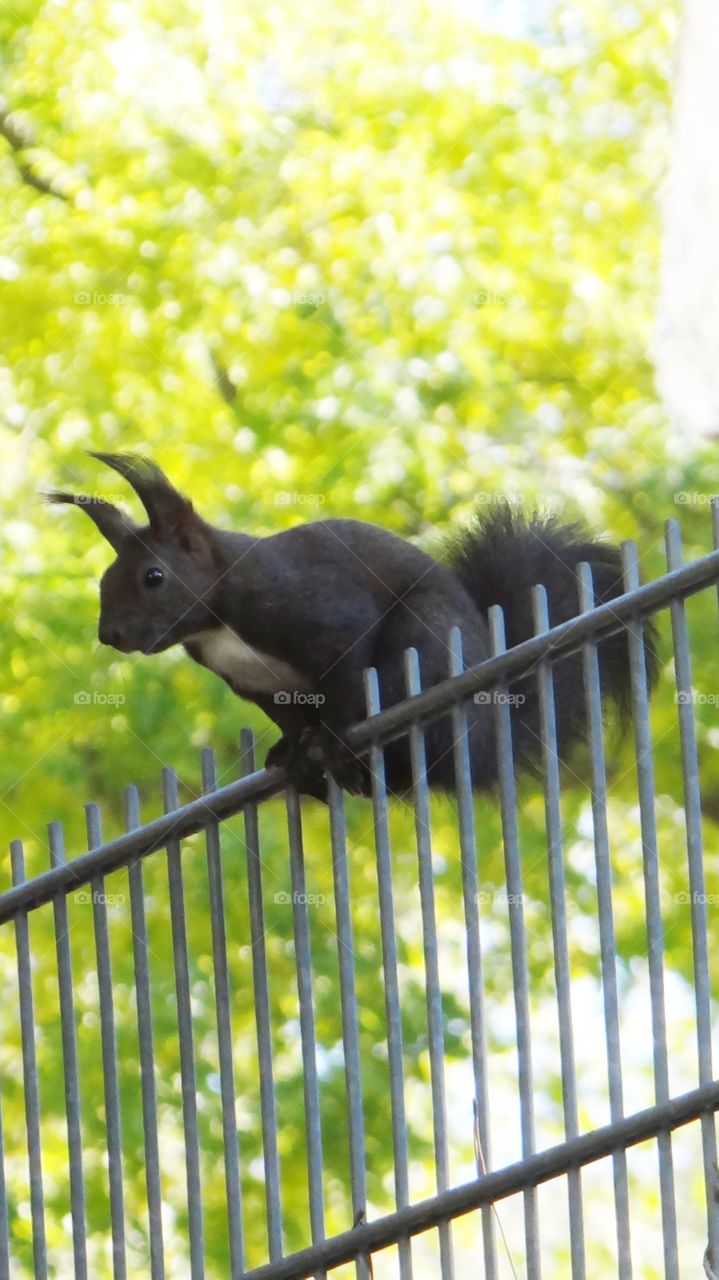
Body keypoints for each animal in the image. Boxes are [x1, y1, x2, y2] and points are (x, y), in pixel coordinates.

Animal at [49, 452, 657, 801]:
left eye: (153, 577)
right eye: (105, 581)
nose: (110, 635)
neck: (216, 621)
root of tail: (491, 744)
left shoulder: (322, 615)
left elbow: (345, 676)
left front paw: (332, 739)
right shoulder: (258, 686)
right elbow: (288, 718)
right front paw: (291, 754)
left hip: (424, 641)